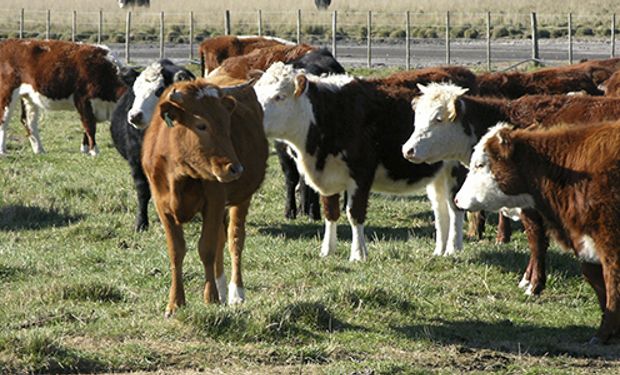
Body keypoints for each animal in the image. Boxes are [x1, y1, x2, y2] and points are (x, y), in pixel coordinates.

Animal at [0, 38, 132, 156]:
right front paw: (94, 151)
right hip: (7, 93)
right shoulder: (82, 99)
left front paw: (85, 149)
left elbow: (87, 127)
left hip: (29, 96)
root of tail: (7, 42)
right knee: (3, 120)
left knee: (28, 121)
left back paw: (39, 150)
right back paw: (3, 152)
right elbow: (89, 126)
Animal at [142, 80, 268, 318]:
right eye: (201, 125)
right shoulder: (162, 207)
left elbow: (206, 249)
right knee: (221, 240)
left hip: (241, 199)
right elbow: (176, 252)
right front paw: (175, 303)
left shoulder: (215, 201)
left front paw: (210, 298)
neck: (179, 174)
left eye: (228, 125)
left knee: (234, 239)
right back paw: (221, 288)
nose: (235, 168)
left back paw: (235, 292)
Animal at [252, 62, 480, 262]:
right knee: (440, 210)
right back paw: (439, 251)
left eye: (279, 96)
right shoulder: (327, 176)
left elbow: (354, 214)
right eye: (257, 94)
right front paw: (327, 251)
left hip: (456, 168)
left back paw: (453, 249)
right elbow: (330, 213)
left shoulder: (361, 174)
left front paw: (358, 254)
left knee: (454, 207)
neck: (328, 114)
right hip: (437, 172)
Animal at [452, 122, 620, 346]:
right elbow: (598, 284)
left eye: (480, 165)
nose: (457, 199)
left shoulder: (611, 245)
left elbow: (612, 287)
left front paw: (603, 334)